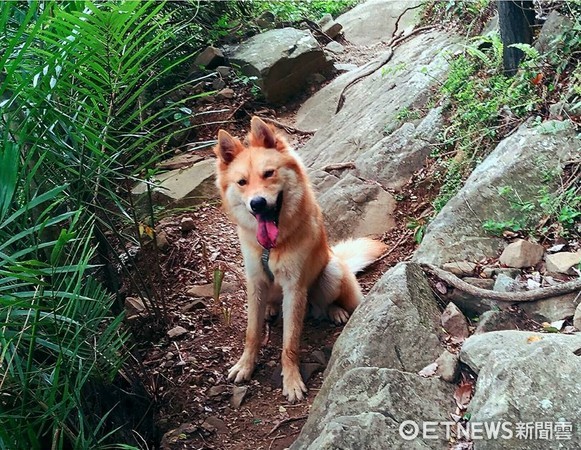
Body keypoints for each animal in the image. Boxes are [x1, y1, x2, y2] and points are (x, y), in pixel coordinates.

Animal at [213, 118, 386, 402]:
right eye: (242, 182)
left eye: (268, 173)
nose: (257, 203)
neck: (271, 248)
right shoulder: (255, 282)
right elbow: (251, 332)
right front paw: (245, 365)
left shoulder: (294, 288)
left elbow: (290, 342)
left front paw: (292, 380)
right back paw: (271, 309)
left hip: (331, 271)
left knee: (327, 303)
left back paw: (335, 310)